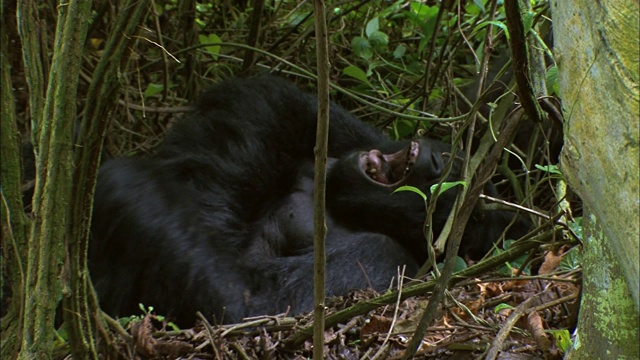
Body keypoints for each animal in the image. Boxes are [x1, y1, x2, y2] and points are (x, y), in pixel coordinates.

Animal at [91, 76, 528, 326]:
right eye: (452, 164)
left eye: (445, 196)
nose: (436, 164)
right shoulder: (350, 137)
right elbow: (277, 105)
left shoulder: (383, 257)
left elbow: (240, 302)